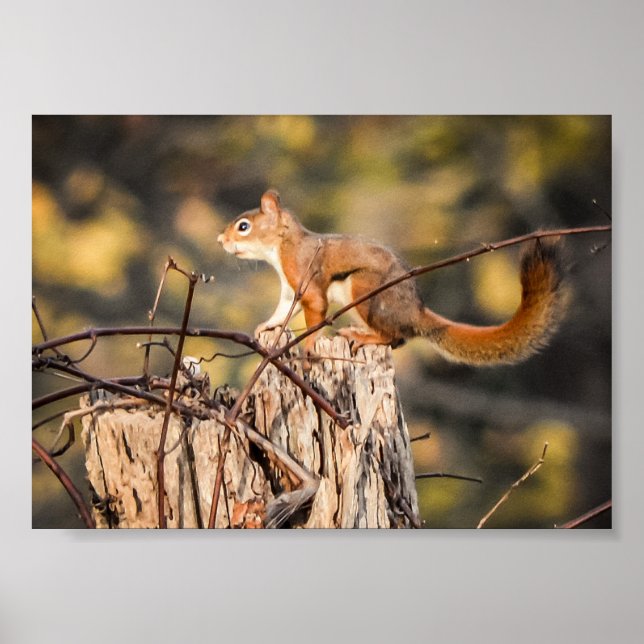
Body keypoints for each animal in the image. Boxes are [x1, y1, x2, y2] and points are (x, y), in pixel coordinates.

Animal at [217, 190, 568, 365]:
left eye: (244, 226)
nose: (220, 240)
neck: (283, 245)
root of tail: (415, 312)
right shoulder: (290, 290)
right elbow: (282, 312)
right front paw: (267, 327)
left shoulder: (305, 274)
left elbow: (315, 311)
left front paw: (309, 344)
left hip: (365, 292)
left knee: (395, 338)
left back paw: (364, 336)